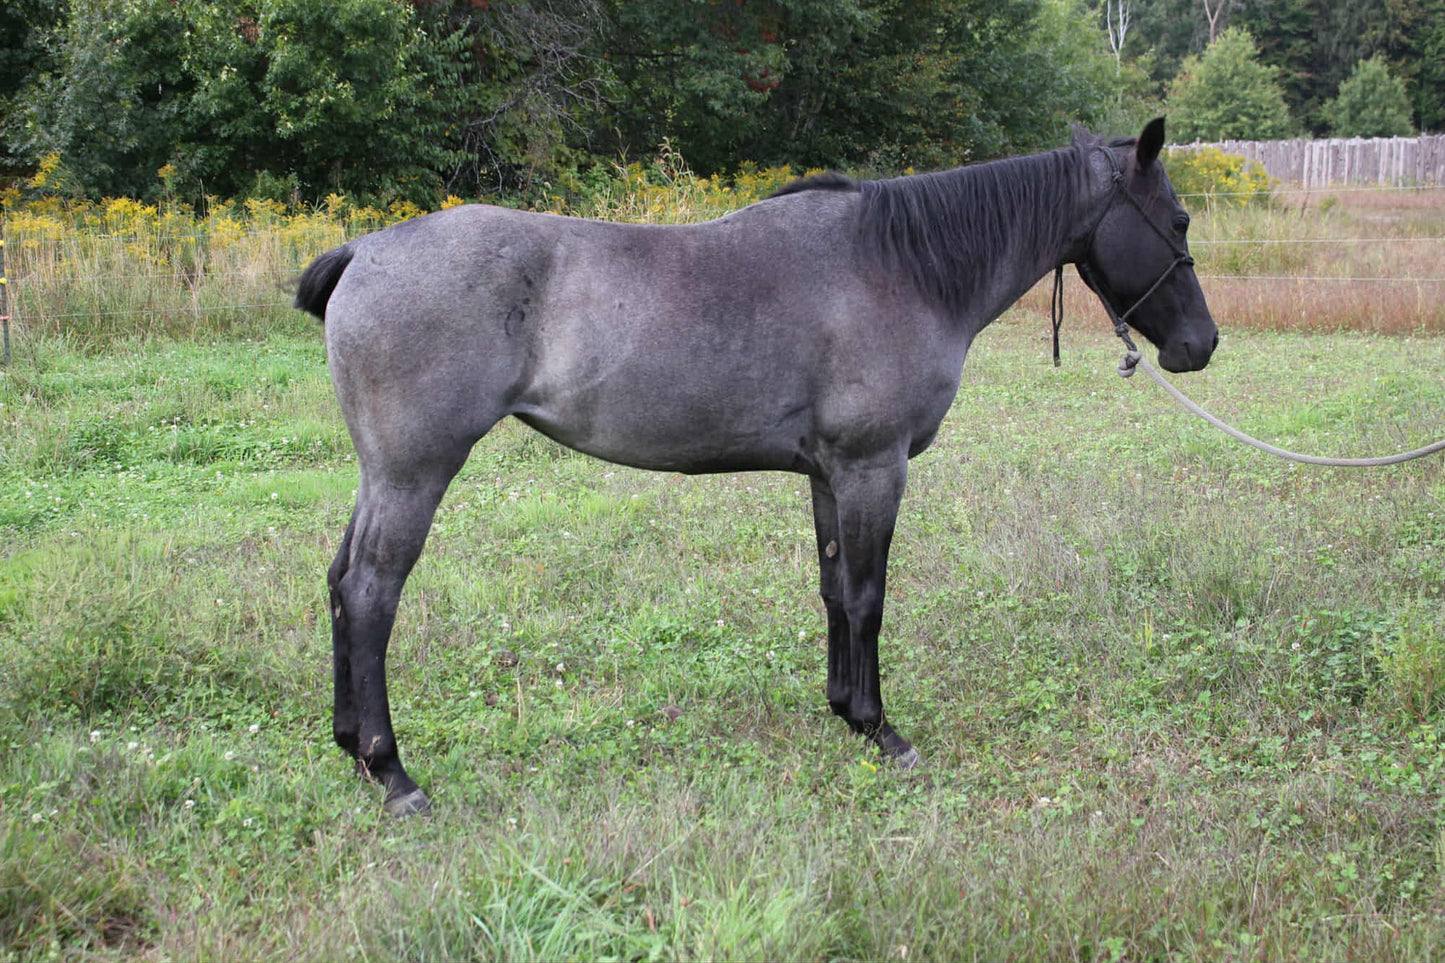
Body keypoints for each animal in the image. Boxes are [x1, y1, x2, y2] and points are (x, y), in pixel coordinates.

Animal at [294, 118, 1218, 816]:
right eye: (1174, 222)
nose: (1199, 344)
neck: (901, 264)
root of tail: (365, 251)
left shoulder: (827, 475)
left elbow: (834, 590)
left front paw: (843, 711)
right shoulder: (872, 469)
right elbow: (869, 598)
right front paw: (881, 728)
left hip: (383, 475)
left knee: (342, 584)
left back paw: (351, 750)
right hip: (414, 474)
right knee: (371, 593)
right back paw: (392, 770)